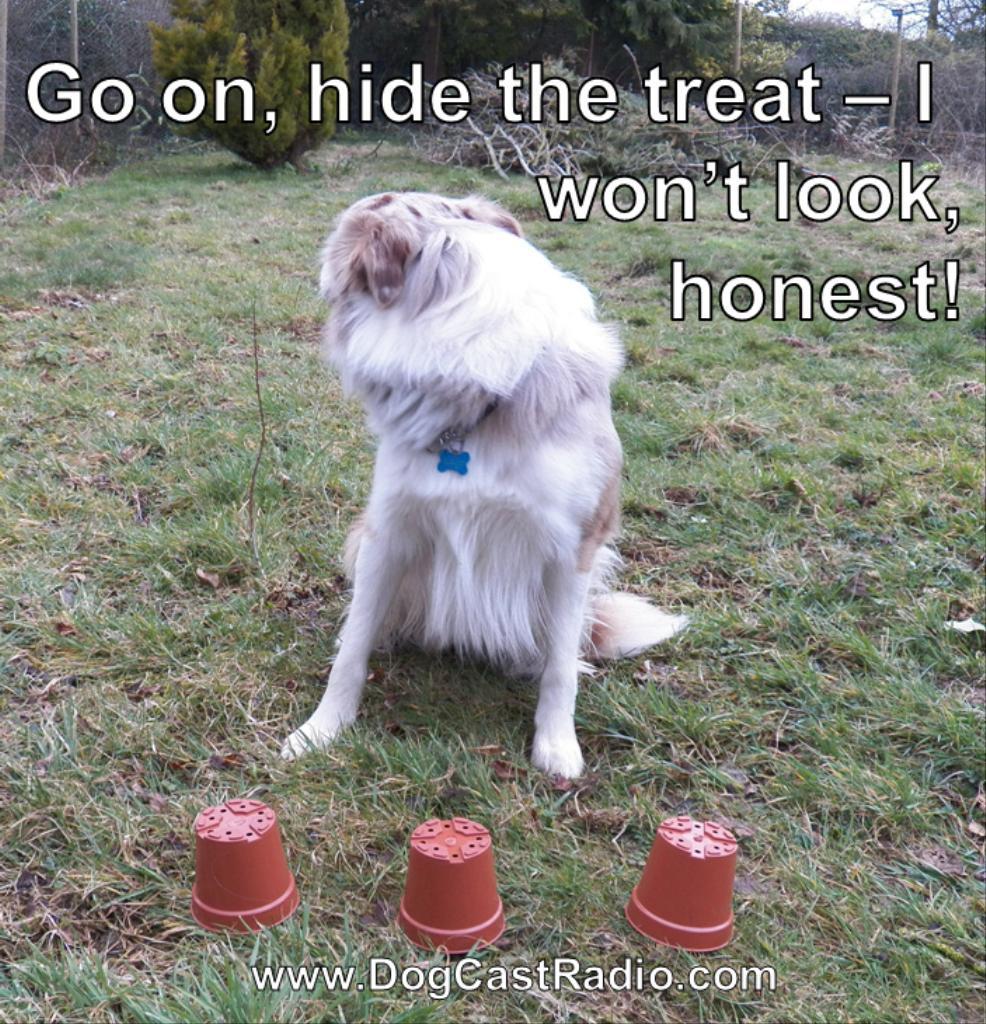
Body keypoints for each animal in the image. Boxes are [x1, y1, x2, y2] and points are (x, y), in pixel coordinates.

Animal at [281, 191, 686, 777]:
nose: (316, 273)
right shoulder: (387, 530)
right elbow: (352, 647)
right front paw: (321, 729)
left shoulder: (574, 549)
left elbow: (560, 667)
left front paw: (557, 746)